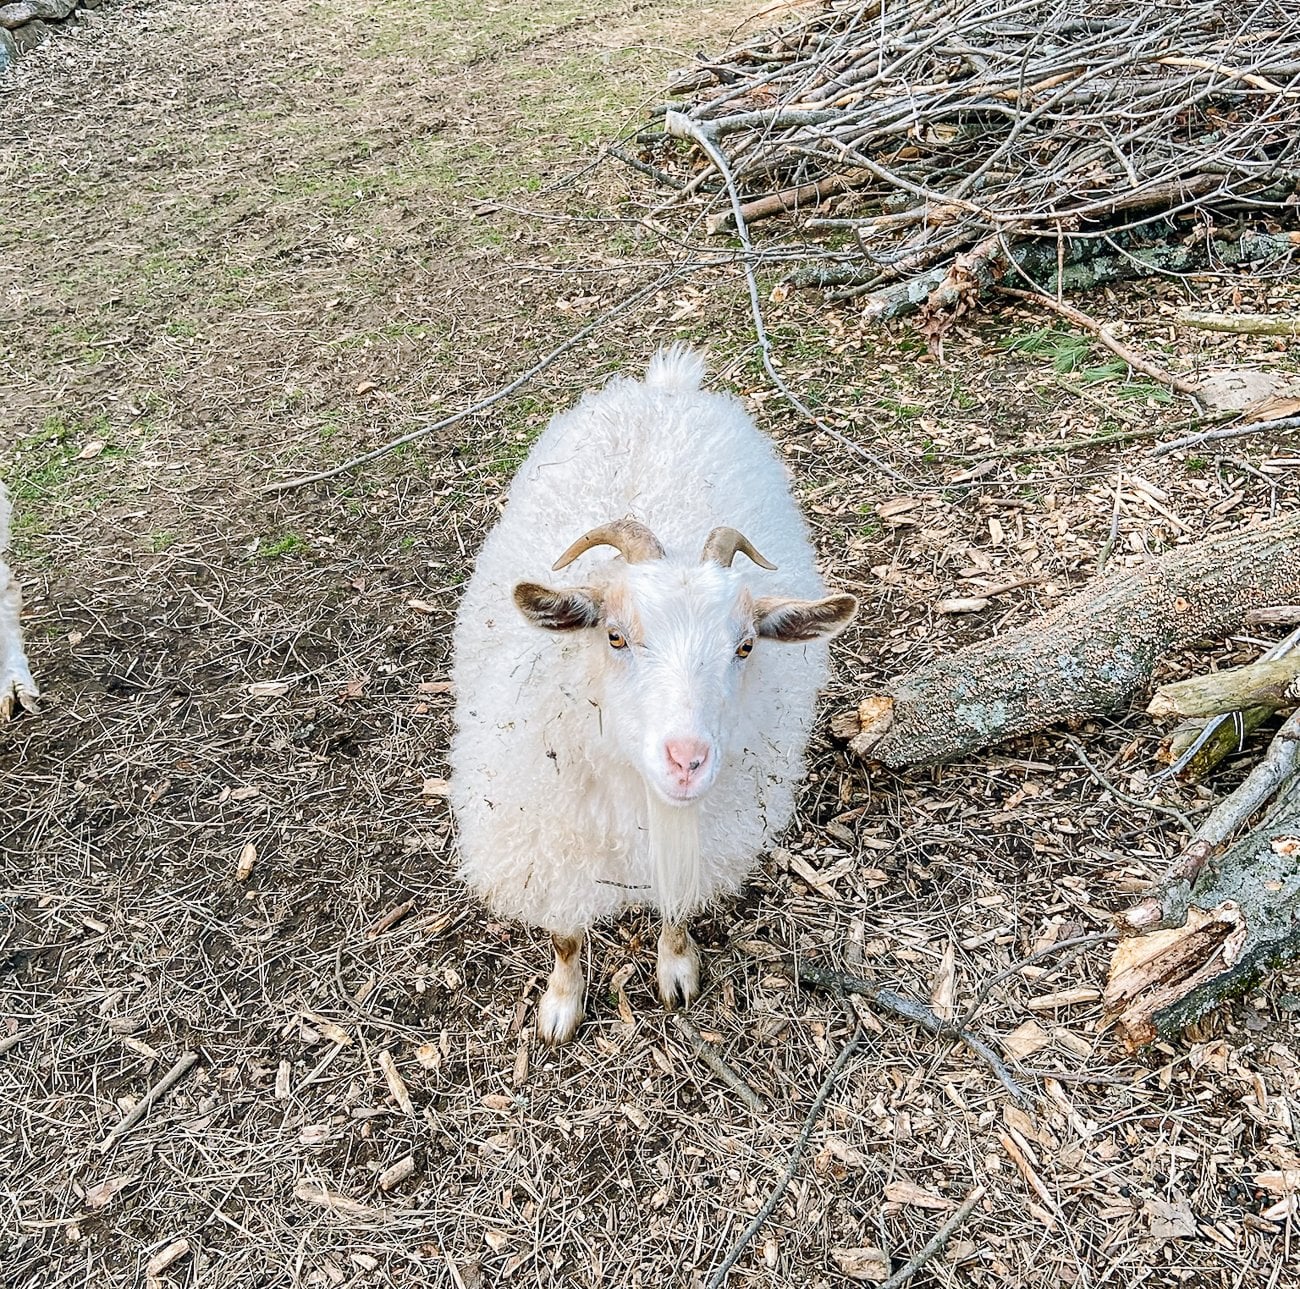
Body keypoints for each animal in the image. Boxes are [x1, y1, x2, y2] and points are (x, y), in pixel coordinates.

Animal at [449, 346, 856, 1043]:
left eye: (745, 647)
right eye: (614, 635)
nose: (686, 760)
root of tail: (668, 387)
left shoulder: (700, 844)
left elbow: (675, 912)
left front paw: (676, 968)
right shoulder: (551, 851)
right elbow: (565, 937)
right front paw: (561, 1004)